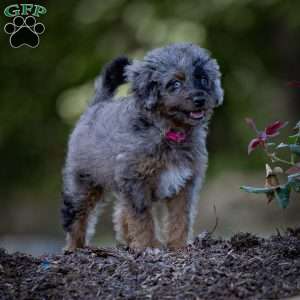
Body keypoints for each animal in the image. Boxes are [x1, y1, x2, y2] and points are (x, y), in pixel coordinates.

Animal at [61, 42, 223, 251]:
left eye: (203, 79)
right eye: (175, 84)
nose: (199, 99)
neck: (168, 131)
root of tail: (97, 104)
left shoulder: (184, 184)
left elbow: (180, 218)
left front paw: (178, 246)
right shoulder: (135, 182)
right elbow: (142, 218)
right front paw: (148, 246)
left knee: (120, 213)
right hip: (84, 182)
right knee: (77, 215)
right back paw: (74, 247)